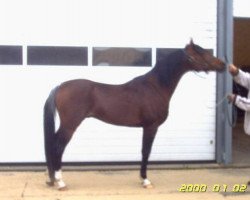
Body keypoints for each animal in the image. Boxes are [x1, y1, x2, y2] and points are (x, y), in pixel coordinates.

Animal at [43, 39, 225, 191]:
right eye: (202, 52)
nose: (222, 64)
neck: (156, 86)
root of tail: (60, 86)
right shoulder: (151, 126)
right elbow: (146, 151)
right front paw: (145, 180)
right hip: (70, 125)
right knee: (58, 147)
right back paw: (60, 182)